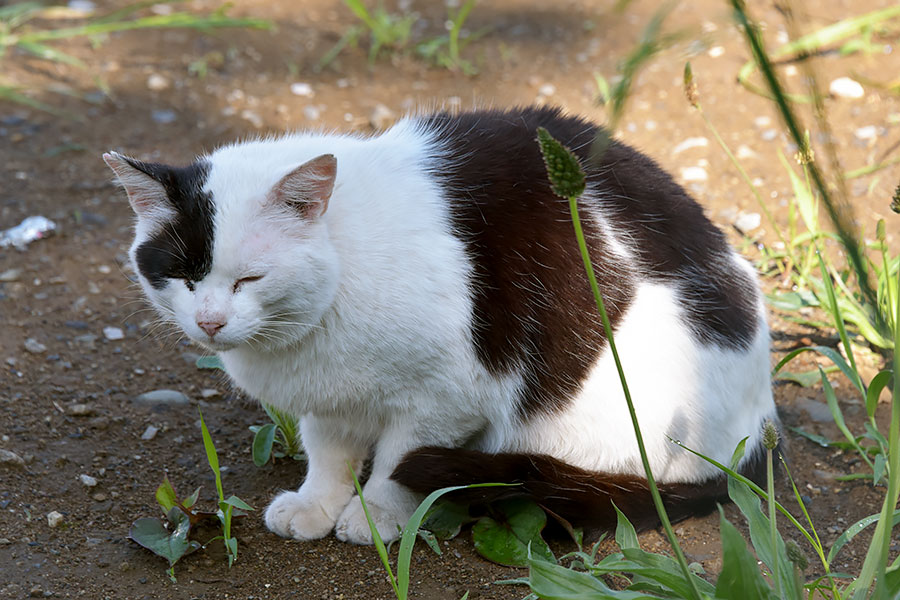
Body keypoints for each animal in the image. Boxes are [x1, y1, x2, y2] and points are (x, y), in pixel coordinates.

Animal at [105, 105, 776, 548]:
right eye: (182, 276)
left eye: (249, 279)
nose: (210, 322)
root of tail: (760, 433)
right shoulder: (328, 397)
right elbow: (328, 450)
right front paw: (318, 503)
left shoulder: (449, 398)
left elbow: (400, 460)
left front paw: (377, 516)